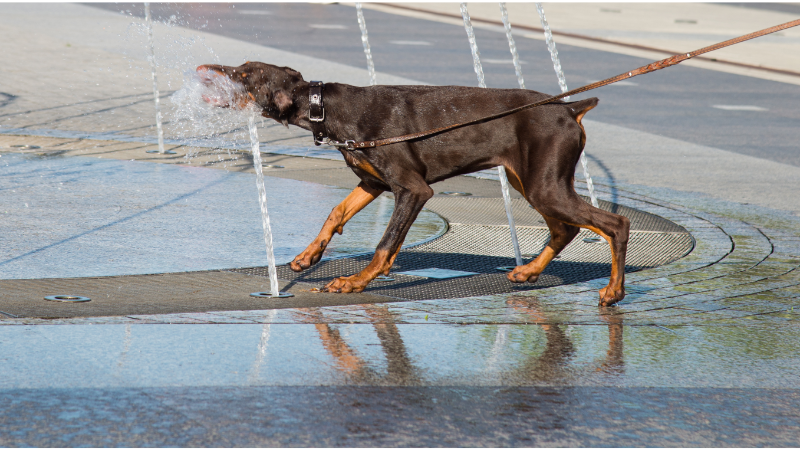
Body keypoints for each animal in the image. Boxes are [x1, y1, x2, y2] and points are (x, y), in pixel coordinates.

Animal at [197, 61, 628, 306]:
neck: (326, 108)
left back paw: (613, 293)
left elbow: (385, 243)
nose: (204, 69)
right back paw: (527, 273)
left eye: (243, 74)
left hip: (544, 185)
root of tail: (571, 109)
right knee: (564, 228)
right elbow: (336, 212)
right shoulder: (373, 183)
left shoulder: (413, 188)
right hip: (528, 180)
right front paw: (308, 257)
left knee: (614, 224)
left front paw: (355, 282)